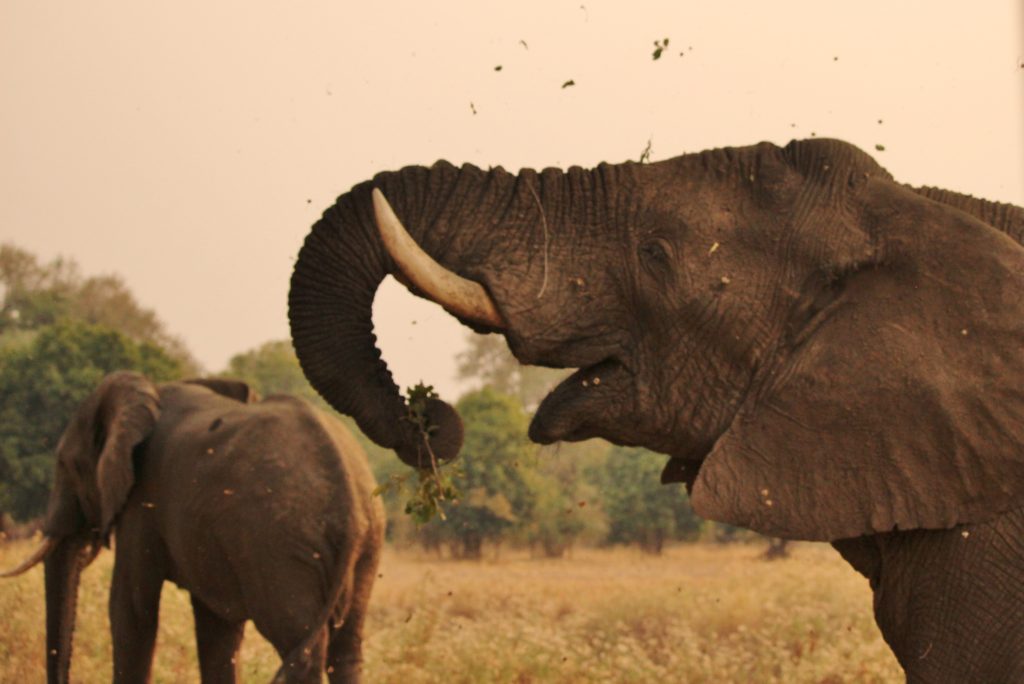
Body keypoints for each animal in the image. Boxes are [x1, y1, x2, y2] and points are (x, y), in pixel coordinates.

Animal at [0, 372, 385, 683]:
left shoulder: (143, 500)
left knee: (300, 648)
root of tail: (350, 497)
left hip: (282, 546)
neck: (147, 393)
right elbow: (217, 632)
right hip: (364, 547)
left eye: (66, 464)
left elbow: (132, 609)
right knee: (346, 650)